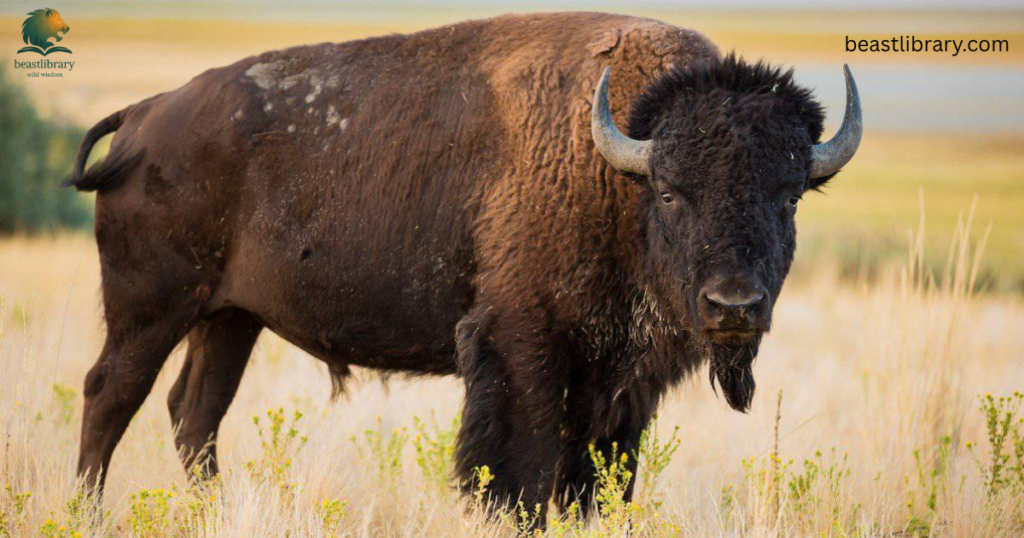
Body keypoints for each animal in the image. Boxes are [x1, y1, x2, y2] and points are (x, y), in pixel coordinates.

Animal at [70, 12, 861, 520]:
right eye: (670, 191)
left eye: (789, 195)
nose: (734, 306)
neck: (616, 171)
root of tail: (146, 115)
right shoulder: (522, 349)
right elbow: (521, 476)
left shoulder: (621, 383)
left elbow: (596, 483)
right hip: (152, 308)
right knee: (111, 395)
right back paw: (87, 511)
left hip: (231, 318)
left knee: (194, 414)